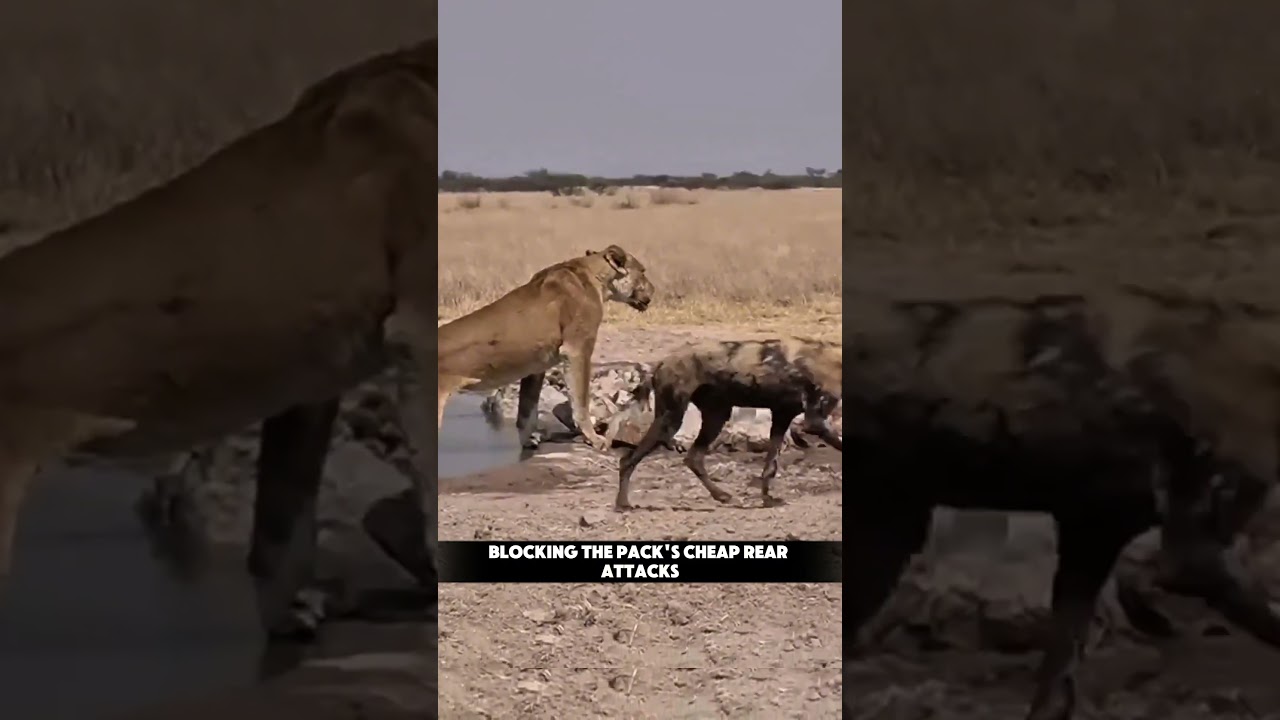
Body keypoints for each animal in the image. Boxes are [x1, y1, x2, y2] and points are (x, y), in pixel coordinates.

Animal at [437, 244, 654, 453]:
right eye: (642, 271)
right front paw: (595, 439)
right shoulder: (577, 348)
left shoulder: (536, 366)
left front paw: (529, 440)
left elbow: (527, 410)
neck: (595, 275)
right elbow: (581, 401)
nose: (653, 290)